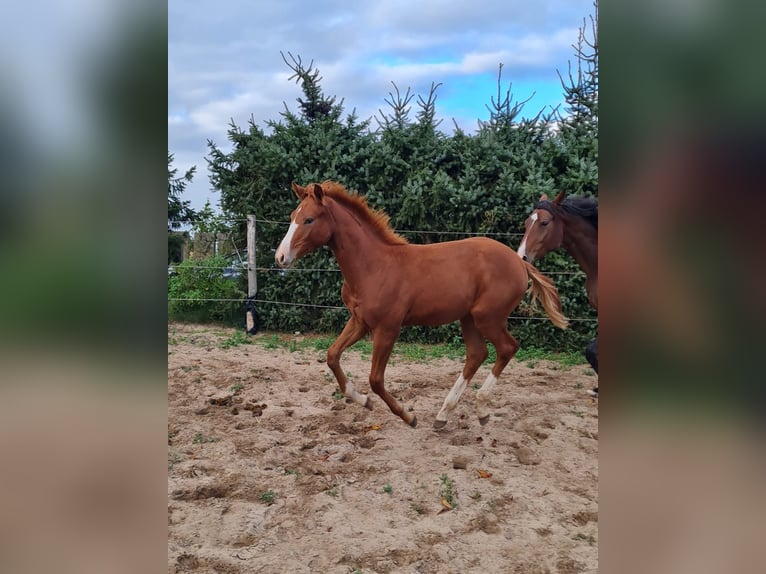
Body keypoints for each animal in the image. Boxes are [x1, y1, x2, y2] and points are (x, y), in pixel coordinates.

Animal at [276, 182, 568, 430]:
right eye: (291, 216)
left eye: (309, 219)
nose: (280, 257)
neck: (373, 266)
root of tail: (520, 262)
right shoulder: (359, 322)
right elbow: (332, 356)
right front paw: (363, 401)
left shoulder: (388, 328)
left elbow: (376, 379)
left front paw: (408, 416)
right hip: (468, 318)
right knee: (477, 354)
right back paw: (443, 415)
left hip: (488, 317)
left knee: (507, 348)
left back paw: (481, 408)